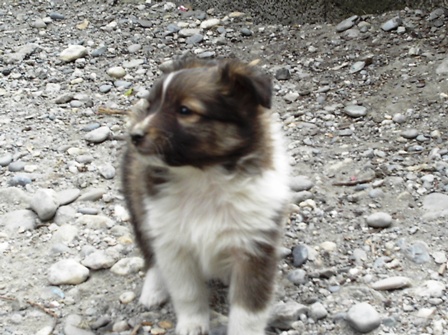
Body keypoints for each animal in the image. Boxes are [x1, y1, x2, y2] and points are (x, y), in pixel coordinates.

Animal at [121, 58, 290, 335]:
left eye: (185, 110)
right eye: (151, 106)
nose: (135, 136)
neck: (204, 177)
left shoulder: (254, 248)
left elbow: (248, 312)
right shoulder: (174, 244)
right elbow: (188, 293)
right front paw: (192, 325)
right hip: (139, 209)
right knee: (151, 255)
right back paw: (153, 290)